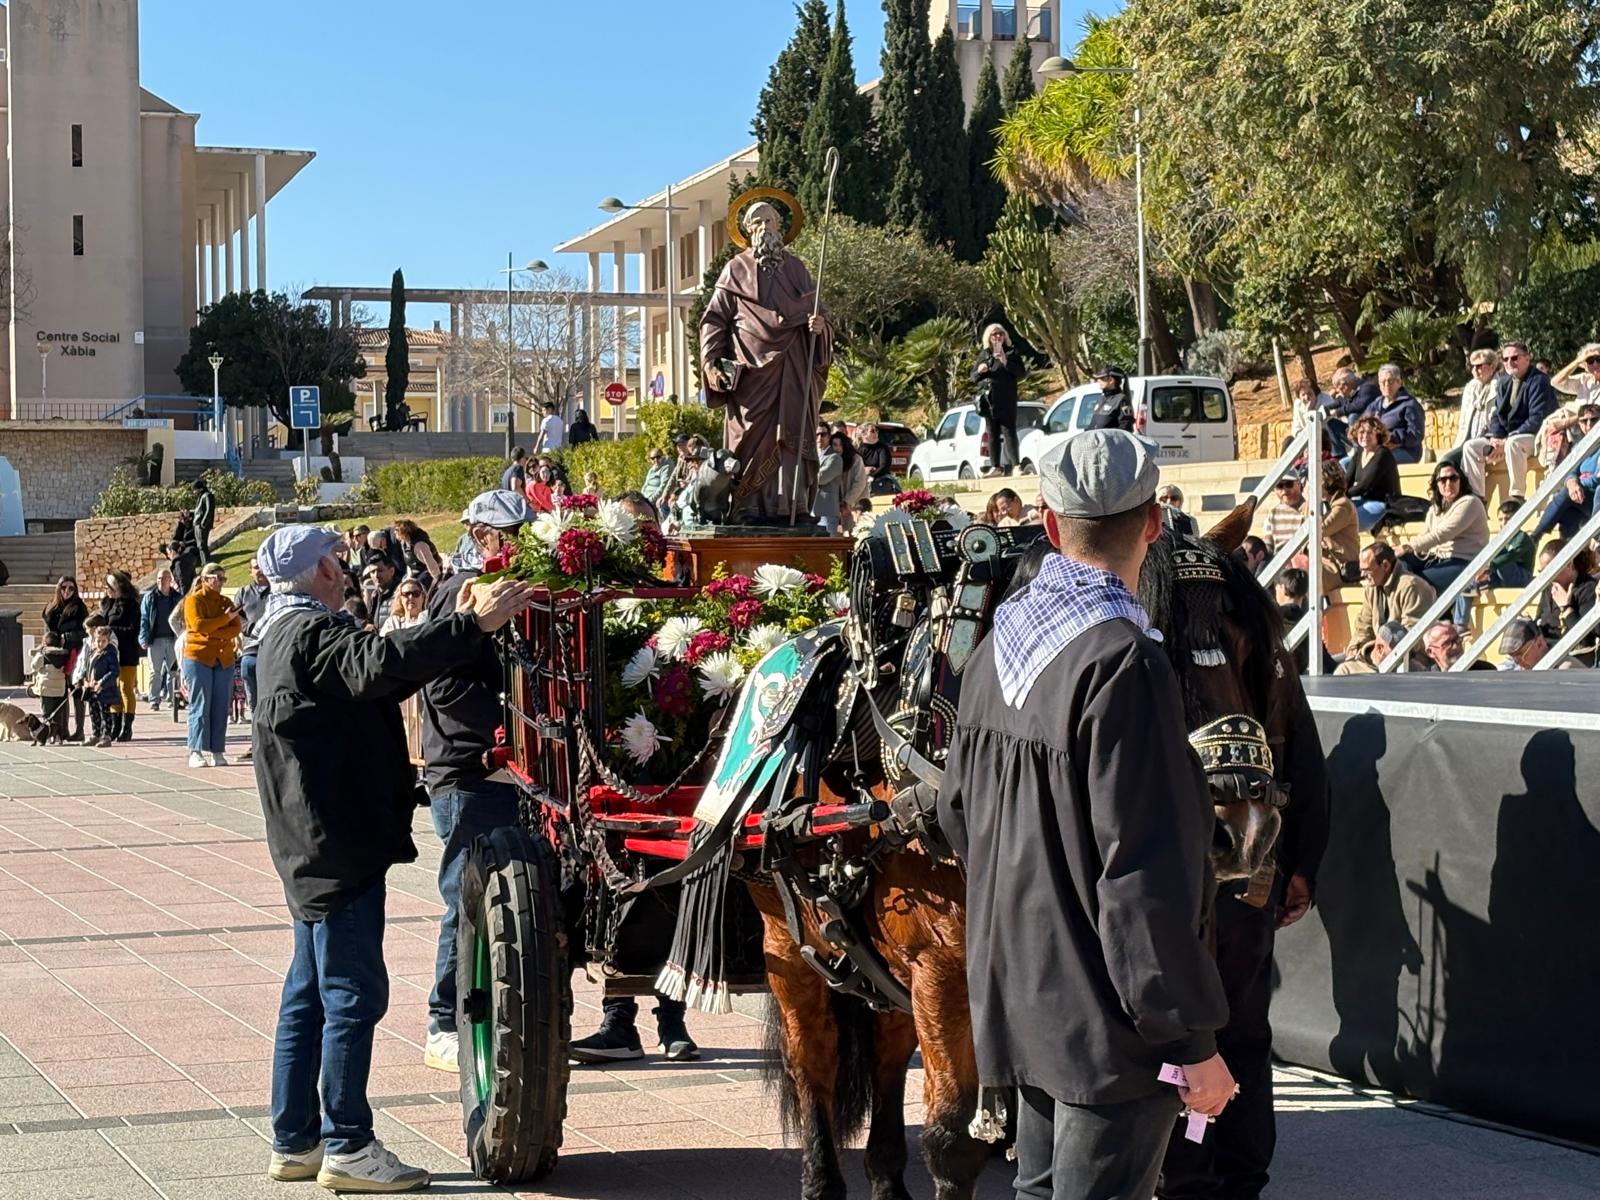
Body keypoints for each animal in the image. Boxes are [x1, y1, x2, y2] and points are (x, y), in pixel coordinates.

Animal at [745, 502, 1299, 1196]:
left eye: (1253, 648)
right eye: (1153, 648)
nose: (1244, 828)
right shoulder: (939, 970)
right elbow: (953, 1140)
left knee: (884, 1050)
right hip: (785, 946)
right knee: (812, 1060)